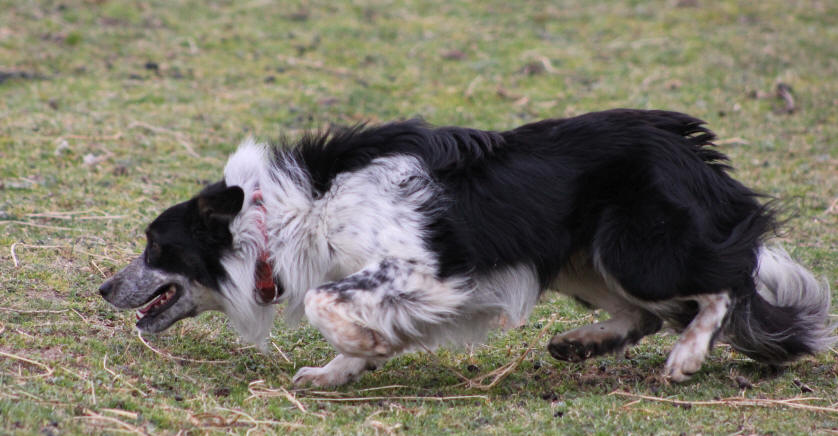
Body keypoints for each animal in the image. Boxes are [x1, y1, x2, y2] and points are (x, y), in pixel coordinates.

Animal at [98, 110, 832, 386]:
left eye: (155, 246)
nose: (103, 288)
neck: (282, 216)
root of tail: (700, 160)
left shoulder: (423, 270)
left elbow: (329, 304)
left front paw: (361, 347)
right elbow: (348, 316)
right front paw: (339, 372)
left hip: (636, 251)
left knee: (722, 286)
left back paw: (687, 356)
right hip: (581, 263)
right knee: (645, 314)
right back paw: (583, 344)